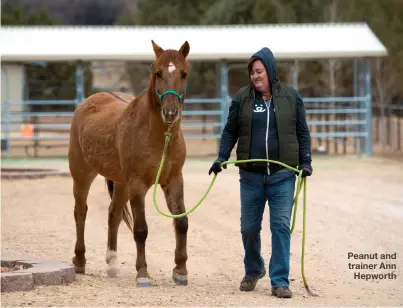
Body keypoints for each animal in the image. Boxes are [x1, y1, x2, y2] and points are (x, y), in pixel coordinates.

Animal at [68, 39, 191, 286]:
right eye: (157, 73)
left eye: (183, 73)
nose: (170, 112)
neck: (158, 136)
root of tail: (89, 101)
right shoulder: (138, 184)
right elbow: (141, 229)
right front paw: (142, 273)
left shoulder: (174, 180)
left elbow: (181, 222)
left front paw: (180, 271)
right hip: (82, 174)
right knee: (80, 212)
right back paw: (80, 260)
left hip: (121, 183)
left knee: (113, 214)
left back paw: (113, 263)